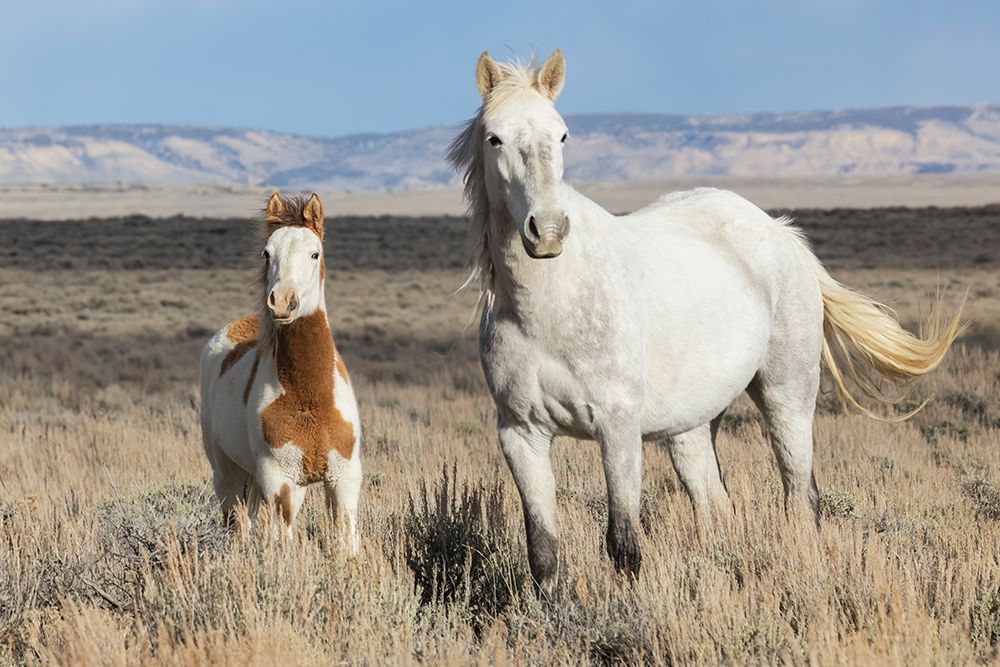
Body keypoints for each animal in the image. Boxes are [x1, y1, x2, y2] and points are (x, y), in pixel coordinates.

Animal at [199, 193, 362, 552]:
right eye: (267, 252)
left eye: (315, 253)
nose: (282, 301)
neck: (309, 397)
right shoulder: (280, 482)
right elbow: (282, 543)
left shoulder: (343, 479)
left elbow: (347, 543)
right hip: (228, 476)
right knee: (238, 525)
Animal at [447, 50, 965, 595]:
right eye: (494, 138)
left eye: (563, 133)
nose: (546, 231)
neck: (549, 306)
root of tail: (781, 233)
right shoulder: (521, 435)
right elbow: (543, 553)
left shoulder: (617, 426)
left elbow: (623, 544)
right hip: (691, 427)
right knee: (717, 507)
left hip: (787, 397)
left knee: (801, 498)